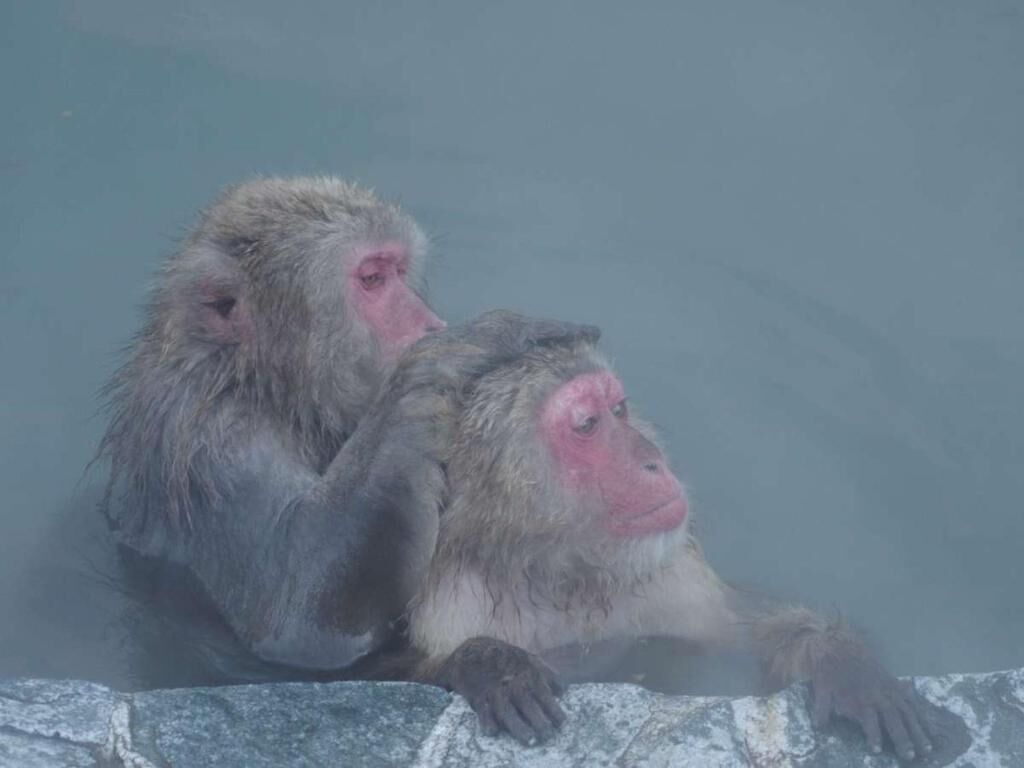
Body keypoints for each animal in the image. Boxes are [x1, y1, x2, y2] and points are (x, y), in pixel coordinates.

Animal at [97, 176, 597, 672]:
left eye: (397, 270)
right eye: (372, 279)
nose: (429, 324)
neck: (267, 386)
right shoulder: (216, 445)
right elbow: (296, 608)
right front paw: (465, 345)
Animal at [407, 338, 934, 761]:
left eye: (619, 409)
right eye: (587, 424)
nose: (652, 461)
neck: (561, 576)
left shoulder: (679, 580)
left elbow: (752, 641)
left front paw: (842, 662)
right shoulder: (451, 608)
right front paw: (494, 666)